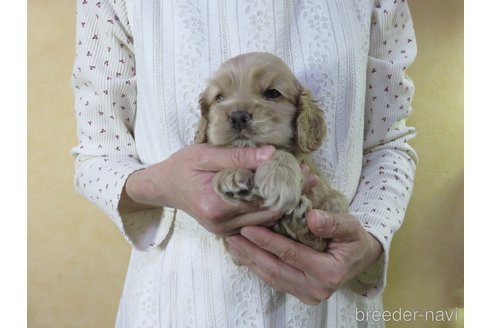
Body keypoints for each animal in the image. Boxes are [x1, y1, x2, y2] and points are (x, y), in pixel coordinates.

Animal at [194, 52, 348, 251]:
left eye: (273, 93)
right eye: (219, 97)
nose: (238, 117)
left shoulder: (325, 193)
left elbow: (281, 152)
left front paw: (279, 181)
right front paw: (232, 175)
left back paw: (297, 217)